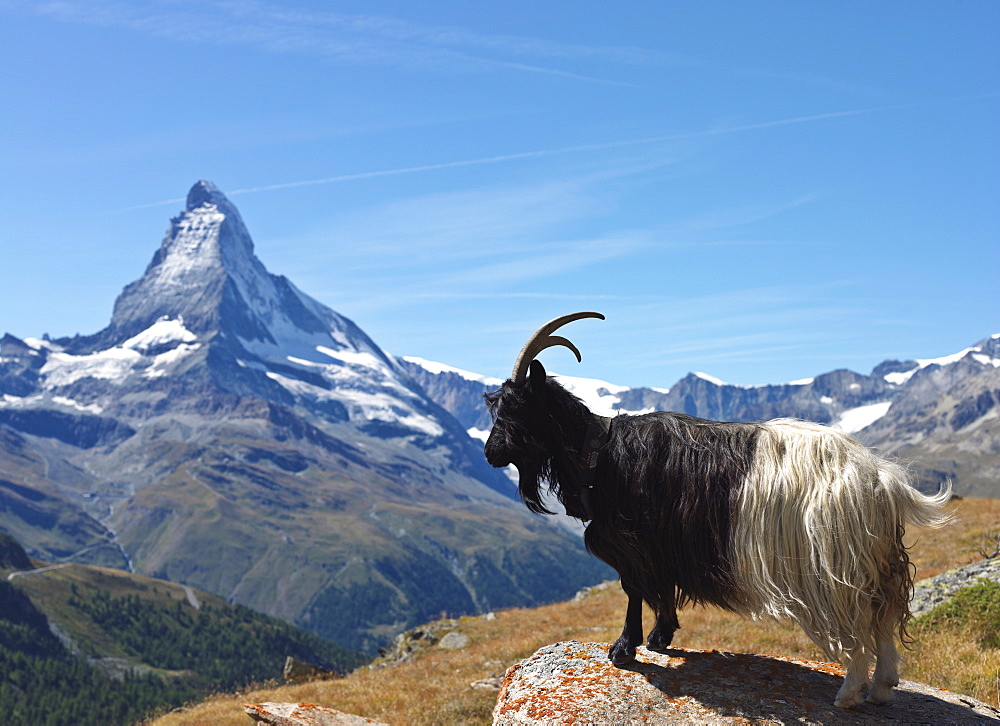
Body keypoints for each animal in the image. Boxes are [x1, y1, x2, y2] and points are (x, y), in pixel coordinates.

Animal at [484, 314, 952, 712]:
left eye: (513, 409)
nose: (490, 454)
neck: (598, 453)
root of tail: (882, 479)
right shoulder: (661, 545)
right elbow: (661, 590)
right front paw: (660, 637)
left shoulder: (633, 542)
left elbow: (634, 590)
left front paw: (624, 649)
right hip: (876, 559)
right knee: (884, 616)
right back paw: (882, 687)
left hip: (835, 567)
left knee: (859, 625)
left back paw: (849, 693)